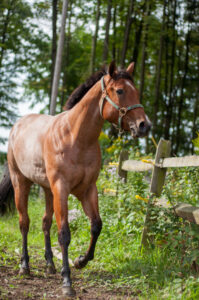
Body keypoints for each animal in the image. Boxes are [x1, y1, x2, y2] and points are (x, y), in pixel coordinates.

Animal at [0, 61, 151, 298]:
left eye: (135, 90)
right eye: (119, 91)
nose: (145, 125)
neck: (74, 137)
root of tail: (17, 126)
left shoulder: (87, 190)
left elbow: (96, 226)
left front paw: (81, 261)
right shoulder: (62, 189)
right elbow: (64, 234)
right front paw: (67, 282)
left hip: (47, 190)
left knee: (45, 223)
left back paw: (50, 265)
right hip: (21, 183)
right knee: (24, 223)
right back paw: (25, 266)